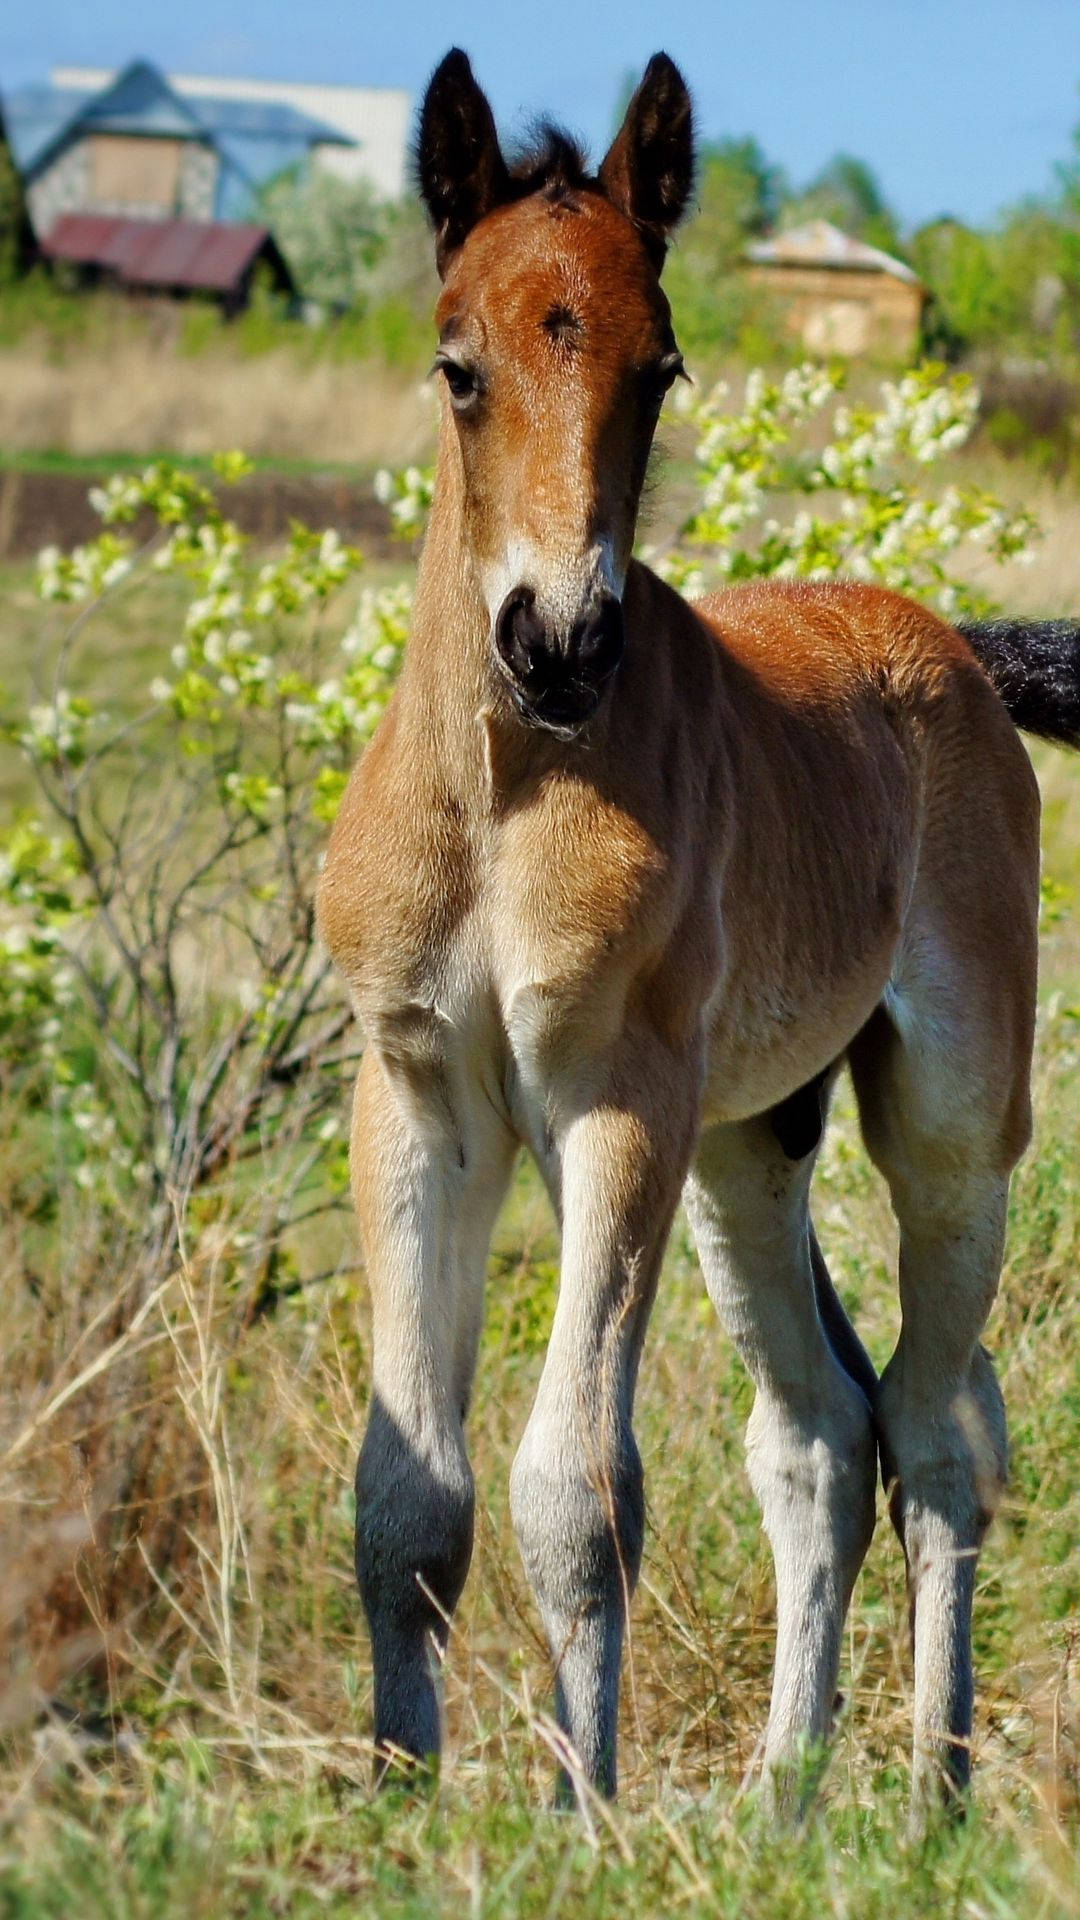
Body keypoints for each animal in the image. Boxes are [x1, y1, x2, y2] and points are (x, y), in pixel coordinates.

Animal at [313, 48, 1076, 1812]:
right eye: (457, 367)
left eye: (658, 371)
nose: (562, 644)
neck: (504, 791)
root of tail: (954, 646)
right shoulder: (417, 1099)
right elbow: (407, 1498)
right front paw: (401, 1800)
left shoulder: (618, 1101)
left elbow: (576, 1489)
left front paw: (580, 1813)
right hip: (751, 1146)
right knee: (819, 1433)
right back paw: (787, 1803)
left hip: (946, 1127)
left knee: (940, 1427)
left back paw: (927, 1796)